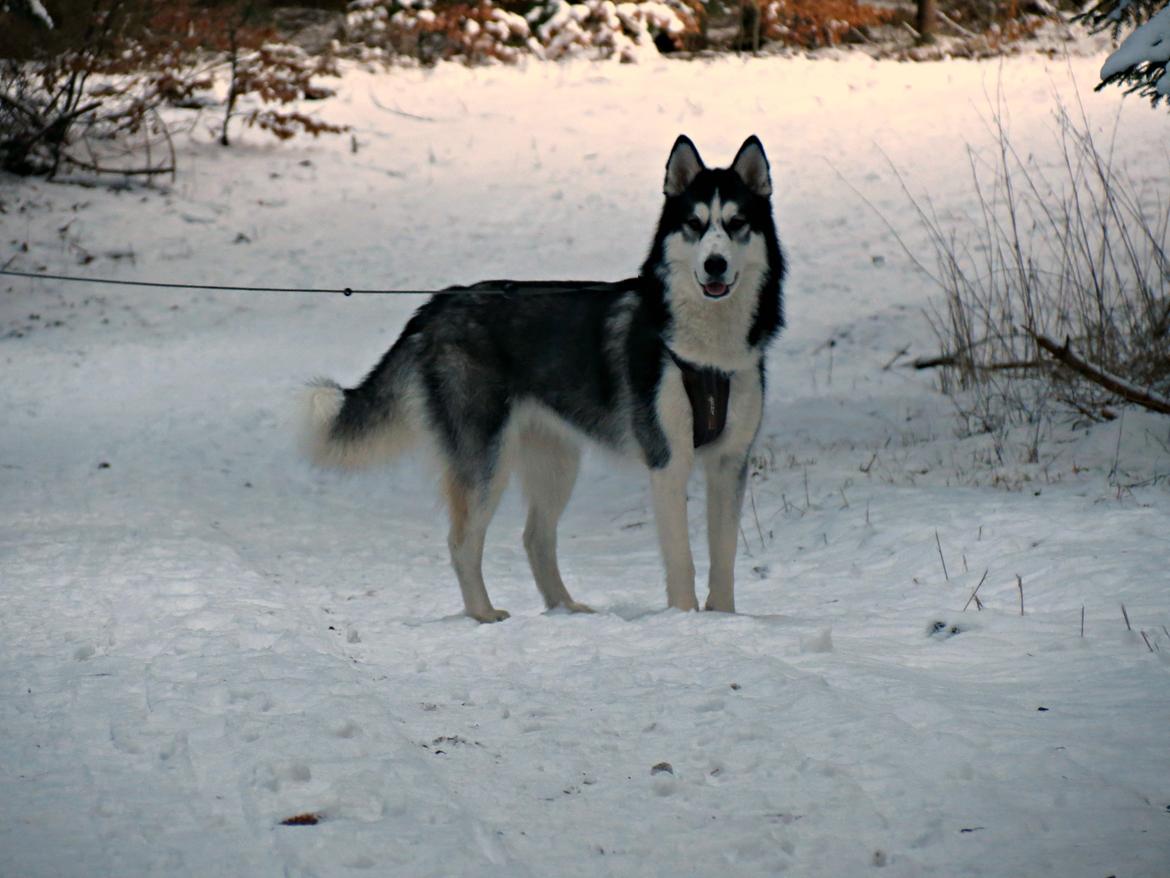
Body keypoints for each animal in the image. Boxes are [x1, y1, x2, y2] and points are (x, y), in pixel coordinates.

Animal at [306, 134, 790, 622]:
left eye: (736, 223)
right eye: (695, 223)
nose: (715, 264)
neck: (707, 354)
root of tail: (438, 303)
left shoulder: (730, 462)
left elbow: (724, 557)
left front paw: (724, 619)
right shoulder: (668, 460)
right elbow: (683, 561)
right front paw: (685, 618)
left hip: (556, 459)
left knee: (535, 537)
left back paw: (565, 608)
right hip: (486, 458)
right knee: (462, 541)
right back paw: (483, 615)